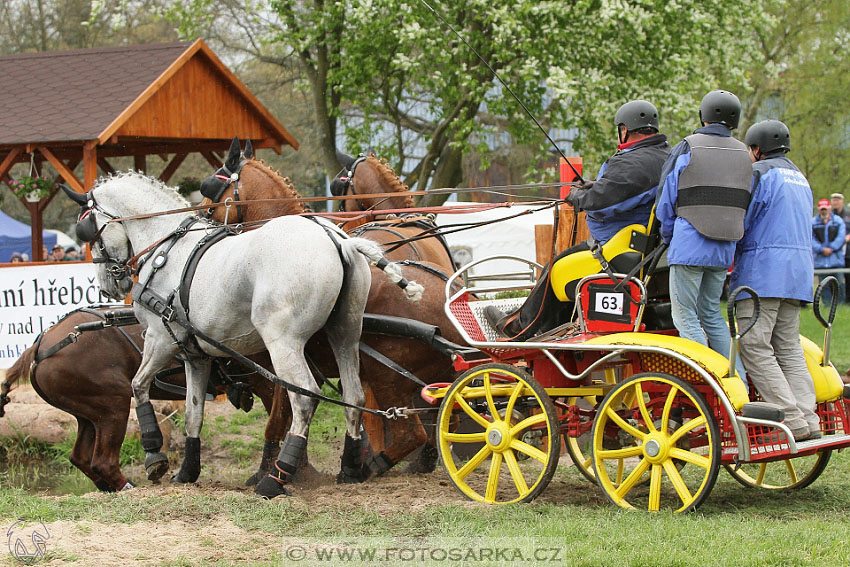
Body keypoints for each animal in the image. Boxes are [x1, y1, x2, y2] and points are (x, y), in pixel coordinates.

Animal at [64, 175, 422, 500]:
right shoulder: (195, 354)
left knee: (304, 398)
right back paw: (349, 469)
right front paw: (187, 472)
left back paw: (276, 479)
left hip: (284, 343)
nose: (110, 284)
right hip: (344, 335)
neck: (168, 250)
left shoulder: (160, 338)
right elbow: (194, 413)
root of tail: (338, 240)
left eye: (88, 232)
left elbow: (138, 385)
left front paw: (154, 455)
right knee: (354, 395)